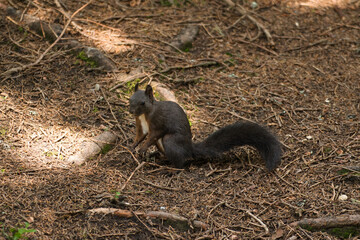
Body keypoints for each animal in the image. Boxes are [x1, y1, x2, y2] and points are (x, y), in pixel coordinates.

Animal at [129, 83, 282, 170]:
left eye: (143, 103)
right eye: (130, 99)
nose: (131, 111)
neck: (145, 114)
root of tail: (189, 148)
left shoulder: (158, 123)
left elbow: (152, 136)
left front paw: (142, 149)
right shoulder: (141, 125)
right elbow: (140, 135)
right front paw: (132, 146)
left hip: (170, 140)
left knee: (180, 163)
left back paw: (168, 169)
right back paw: (160, 158)